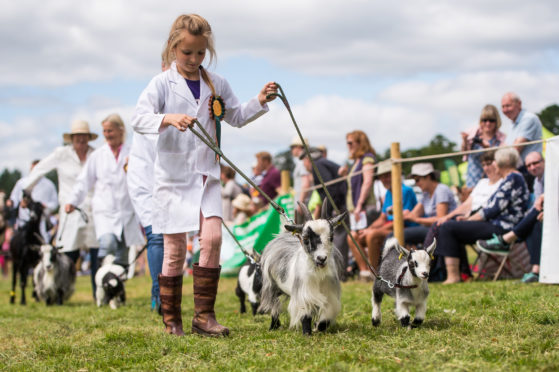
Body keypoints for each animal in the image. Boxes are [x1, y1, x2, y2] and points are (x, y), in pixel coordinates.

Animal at [258, 202, 346, 336]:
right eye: (305, 239)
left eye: (331, 237)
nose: (321, 258)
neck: (318, 274)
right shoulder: (303, 294)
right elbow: (305, 315)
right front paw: (307, 333)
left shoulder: (329, 295)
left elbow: (326, 317)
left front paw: (318, 327)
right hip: (271, 286)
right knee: (274, 307)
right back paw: (273, 326)